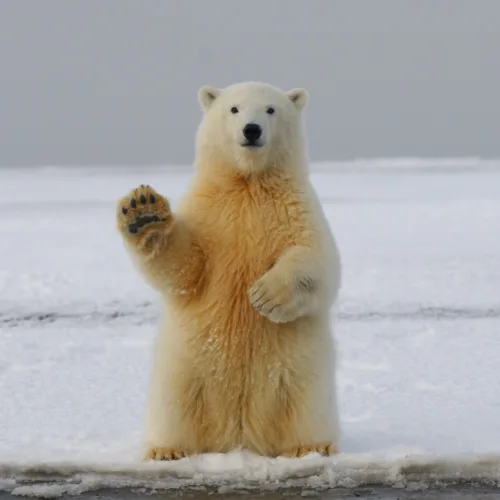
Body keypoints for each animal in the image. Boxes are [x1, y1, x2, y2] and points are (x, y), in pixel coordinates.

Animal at [116, 81, 342, 460]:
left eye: (270, 109)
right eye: (234, 109)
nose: (251, 130)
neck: (248, 183)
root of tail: (239, 437)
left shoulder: (296, 209)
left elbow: (317, 260)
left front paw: (265, 295)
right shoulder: (209, 215)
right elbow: (185, 268)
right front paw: (143, 212)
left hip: (301, 372)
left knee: (306, 405)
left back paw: (310, 446)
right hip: (183, 369)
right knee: (174, 406)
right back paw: (167, 450)